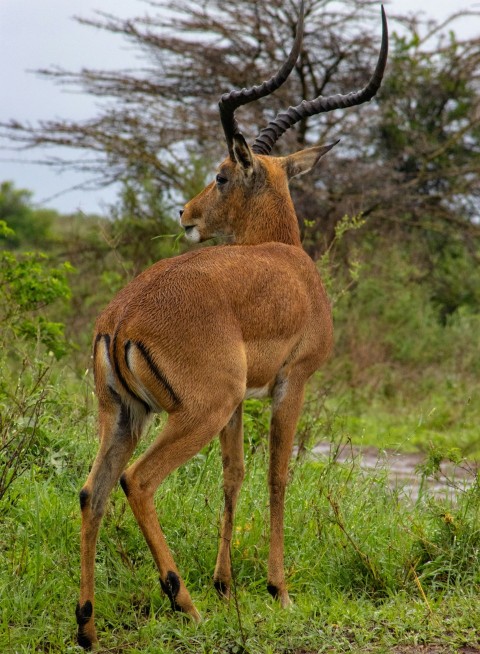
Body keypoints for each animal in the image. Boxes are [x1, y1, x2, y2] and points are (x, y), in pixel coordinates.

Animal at [76, 3, 388, 648]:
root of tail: (122, 315)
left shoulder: (245, 399)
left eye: (221, 175)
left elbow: (234, 475)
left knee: (93, 491)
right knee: (137, 482)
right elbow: (277, 476)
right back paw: (183, 603)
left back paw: (88, 627)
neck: (287, 260)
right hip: (195, 411)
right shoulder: (292, 383)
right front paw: (278, 590)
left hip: (125, 414)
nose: (185, 214)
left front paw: (226, 585)